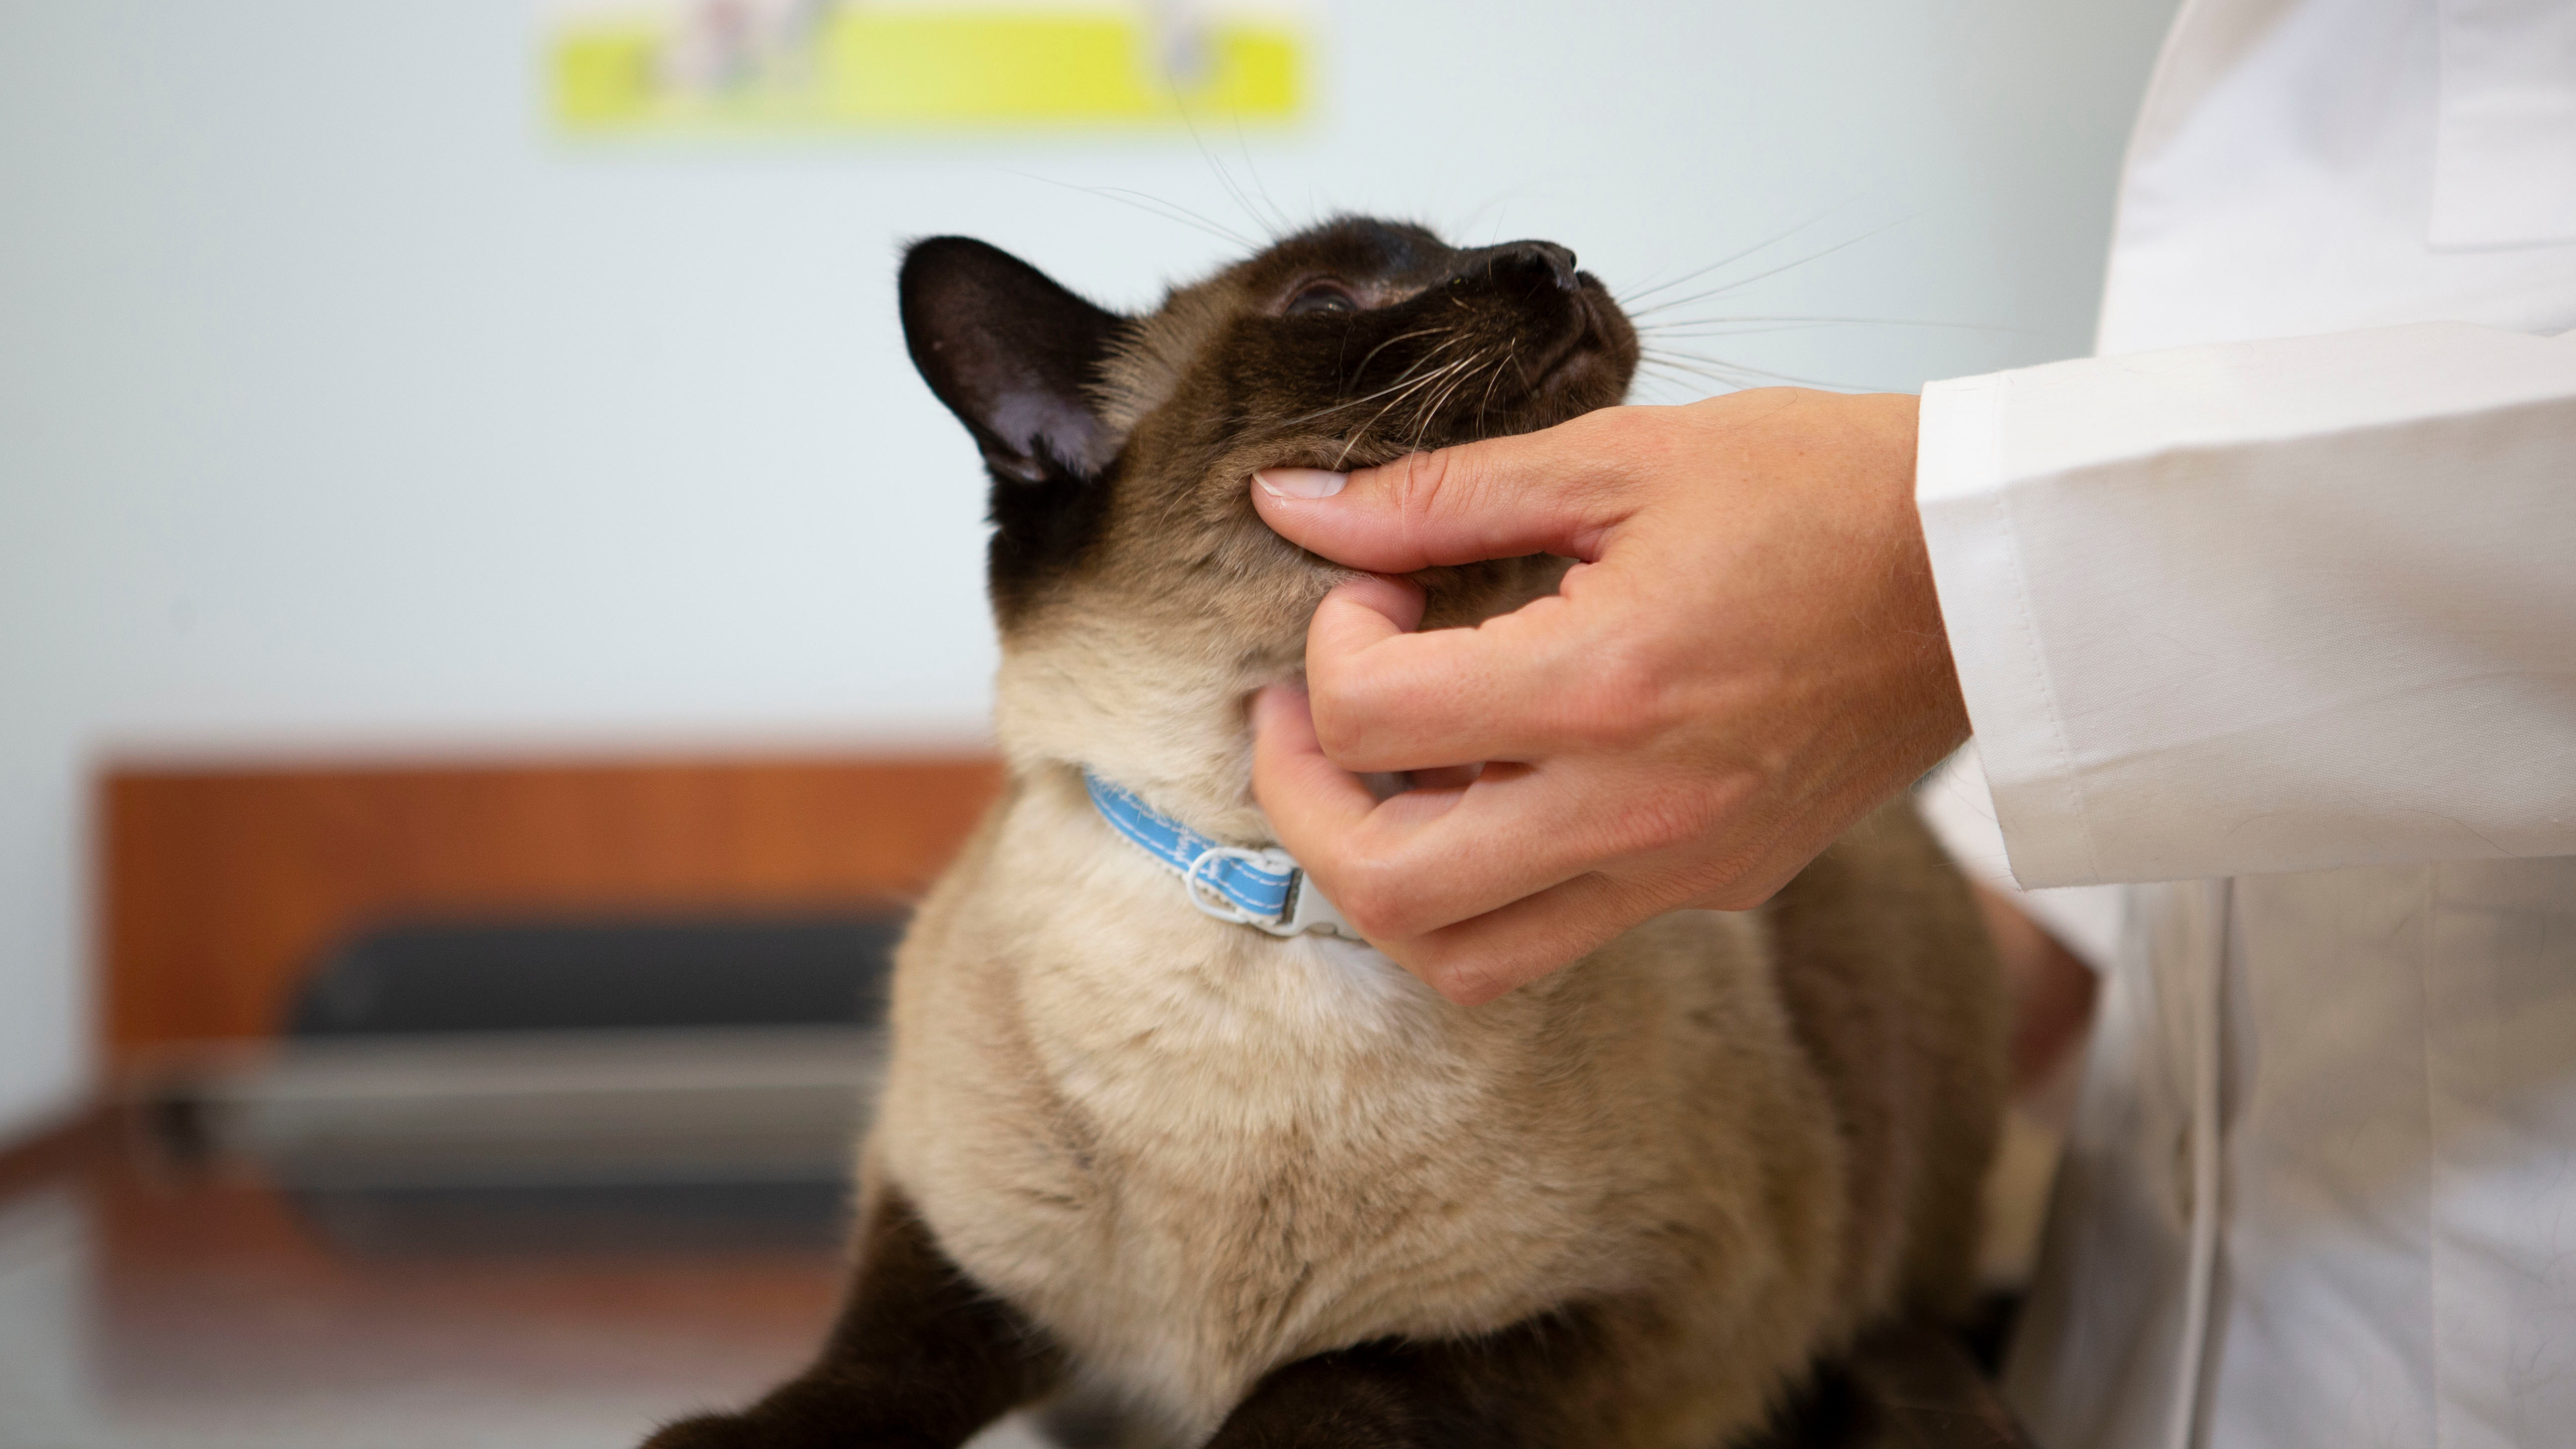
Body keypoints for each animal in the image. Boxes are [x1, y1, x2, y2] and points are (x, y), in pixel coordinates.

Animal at [644, 214, 2009, 1444]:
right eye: (1324, 304)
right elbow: (869, 1370)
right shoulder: (952, 1236)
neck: (1275, 894)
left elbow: (1328, 1387)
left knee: (1909, 1334)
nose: (1552, 256)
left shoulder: (1638, 1313)